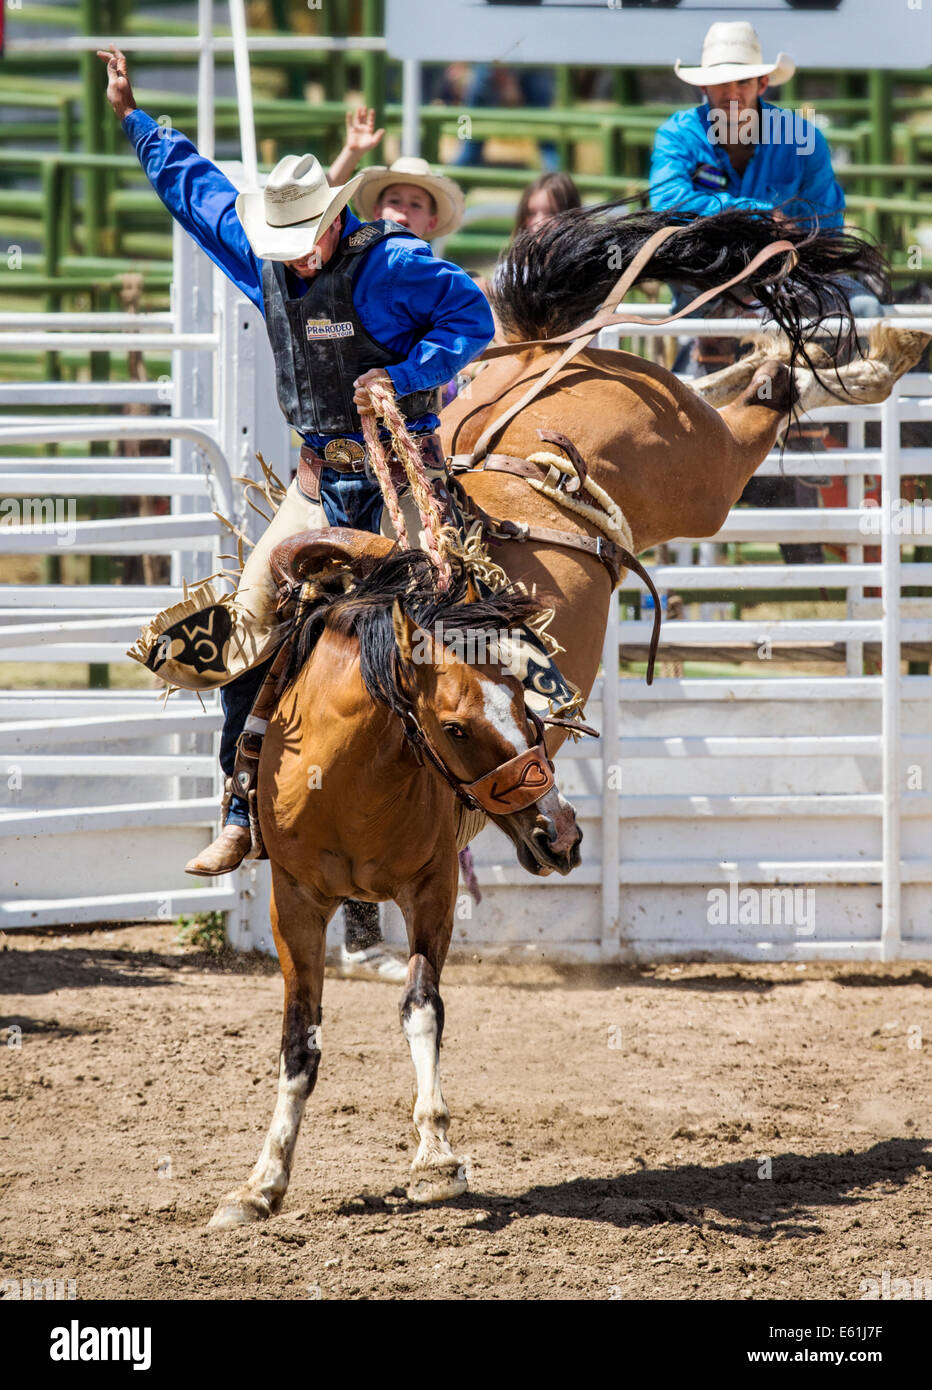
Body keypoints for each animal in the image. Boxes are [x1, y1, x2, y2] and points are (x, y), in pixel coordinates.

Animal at [207, 532, 582, 1228]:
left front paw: (435, 1157)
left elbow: (421, 1008)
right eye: (455, 727)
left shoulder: (433, 888)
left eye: (526, 706)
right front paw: (260, 1185)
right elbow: (298, 1043)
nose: (562, 835)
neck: (344, 778)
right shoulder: (292, 902)